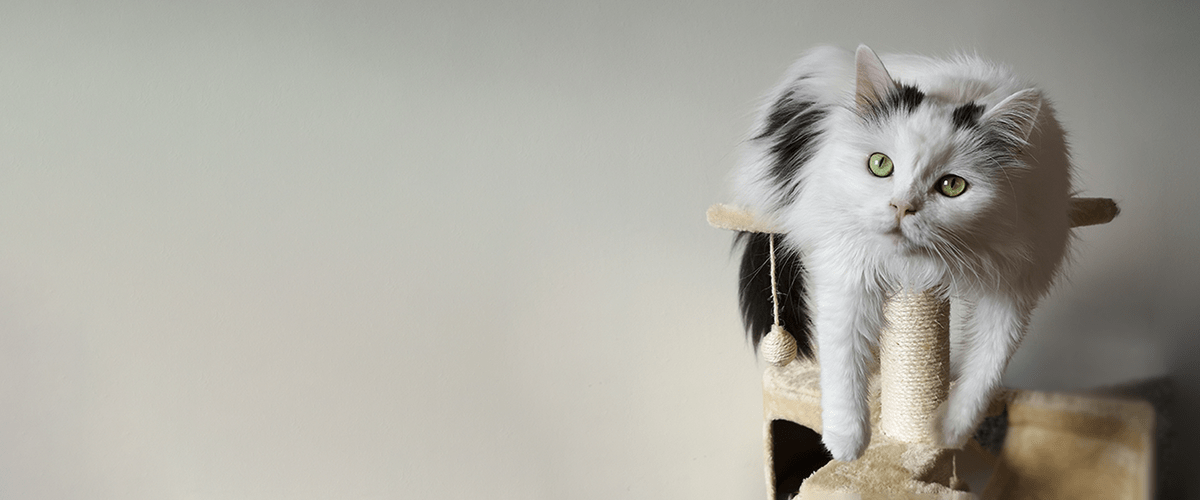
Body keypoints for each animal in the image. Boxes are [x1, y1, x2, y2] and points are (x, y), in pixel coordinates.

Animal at [734, 45, 1075, 460]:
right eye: (880, 165)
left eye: (952, 186)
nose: (902, 207)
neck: (921, 264)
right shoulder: (847, 271)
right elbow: (843, 359)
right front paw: (847, 444)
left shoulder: (1015, 286)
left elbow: (985, 369)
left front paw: (947, 432)